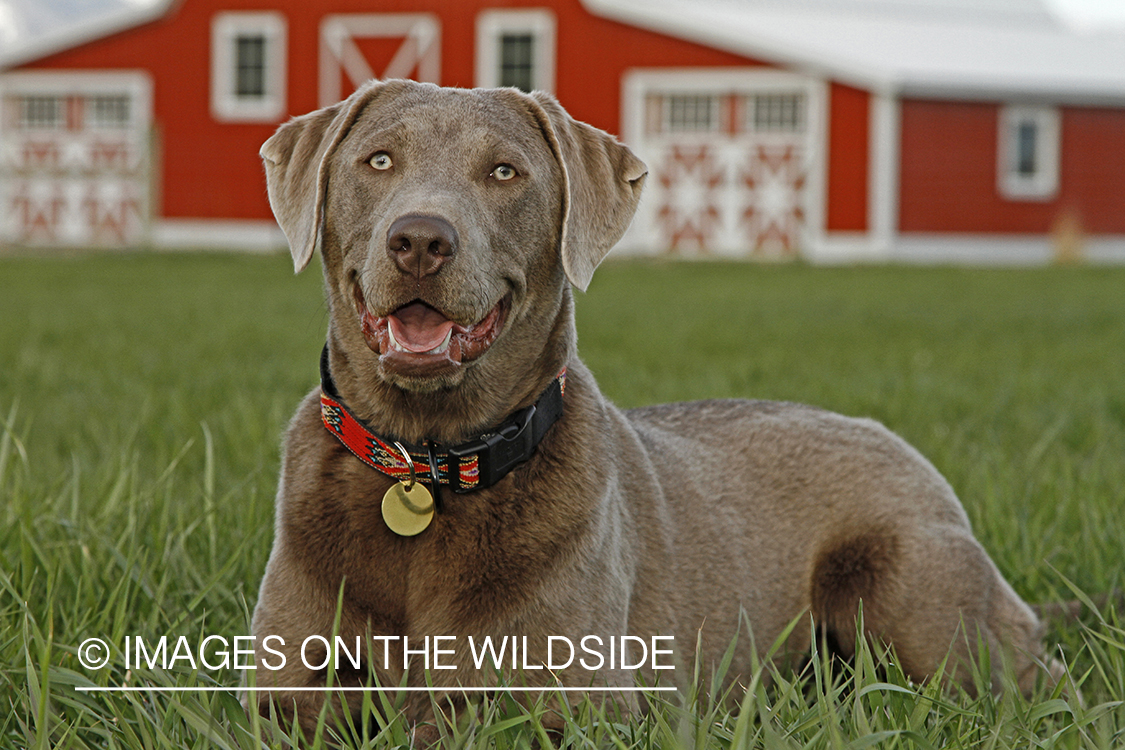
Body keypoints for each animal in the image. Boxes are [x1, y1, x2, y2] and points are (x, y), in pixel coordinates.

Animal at [250, 79, 1066, 737]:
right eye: (379, 161)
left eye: (504, 172)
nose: (419, 239)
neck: (425, 461)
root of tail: (903, 446)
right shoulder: (285, 696)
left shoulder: (581, 704)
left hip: (898, 583)